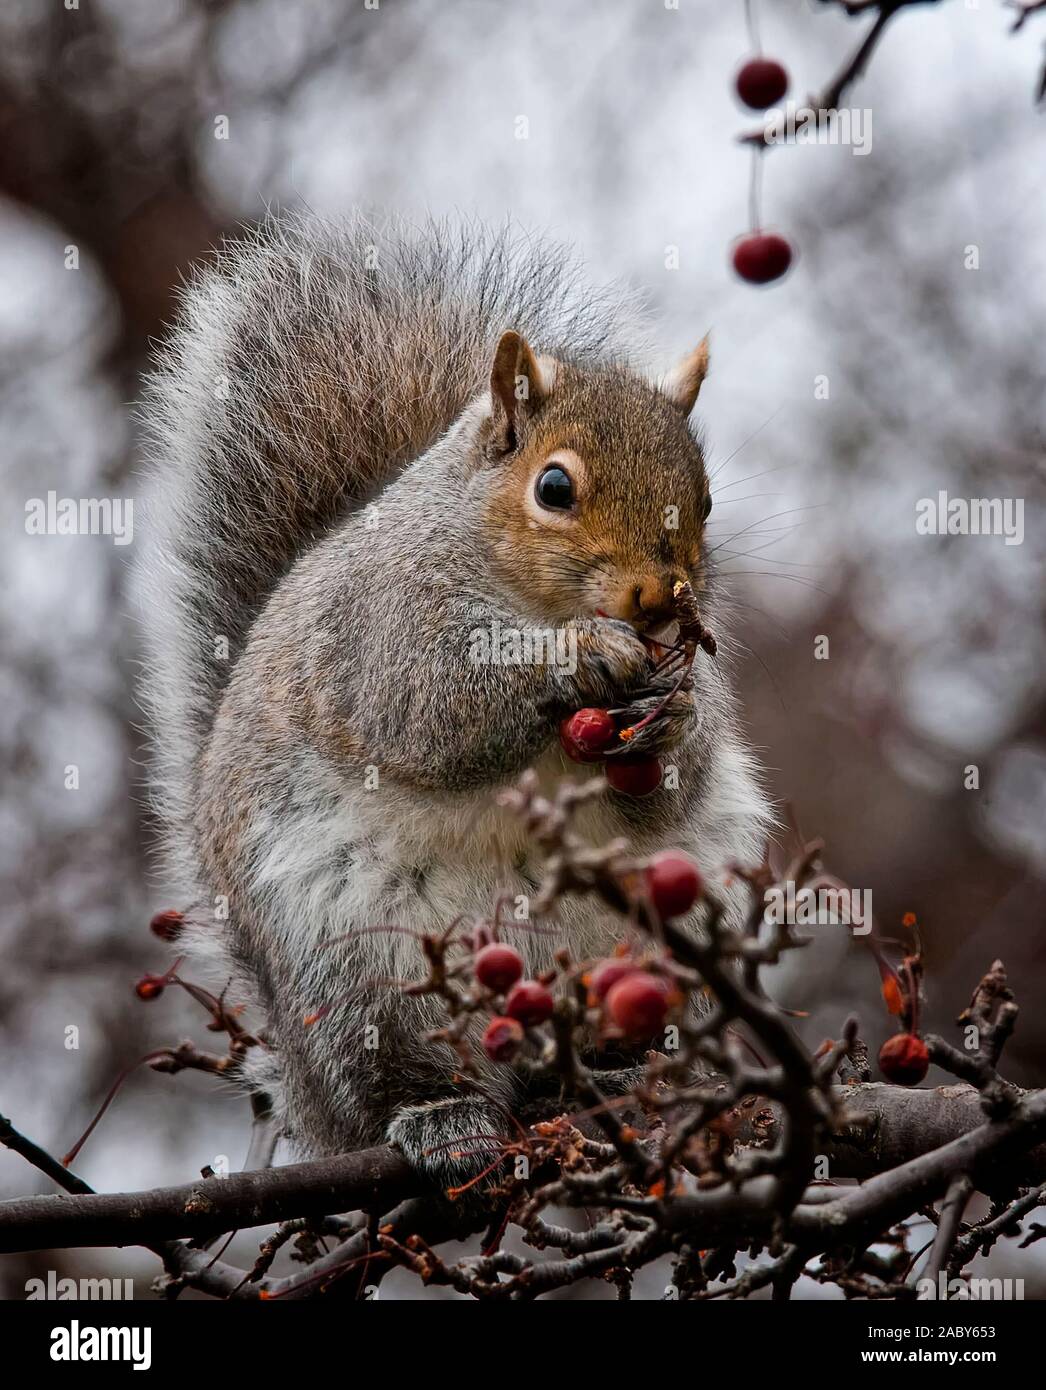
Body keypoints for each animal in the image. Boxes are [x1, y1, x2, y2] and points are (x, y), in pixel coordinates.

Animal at [136, 211, 766, 1212]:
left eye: (704, 500)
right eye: (555, 488)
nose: (656, 599)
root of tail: (307, 1104)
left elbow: (672, 786)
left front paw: (675, 719)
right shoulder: (383, 625)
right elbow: (432, 711)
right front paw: (583, 657)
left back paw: (624, 1071)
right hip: (354, 969)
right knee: (389, 1076)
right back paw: (443, 1119)